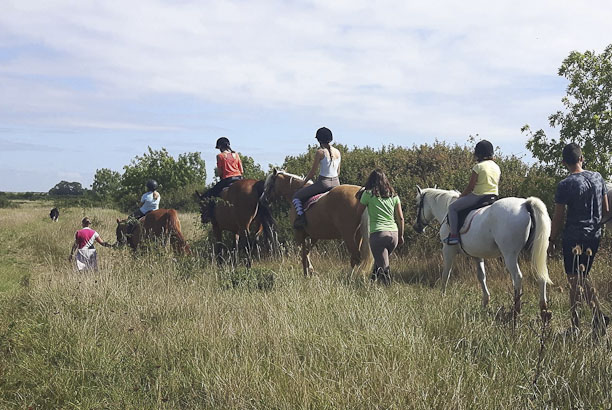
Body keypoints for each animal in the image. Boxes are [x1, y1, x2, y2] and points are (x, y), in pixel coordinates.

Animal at [414, 187, 552, 318]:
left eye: (417, 204)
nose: (417, 227)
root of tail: (525, 204)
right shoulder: (477, 255)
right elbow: (481, 276)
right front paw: (486, 301)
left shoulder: (448, 250)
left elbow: (445, 274)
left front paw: (442, 296)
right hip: (534, 252)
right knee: (541, 275)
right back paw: (544, 309)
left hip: (510, 255)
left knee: (517, 277)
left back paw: (517, 310)